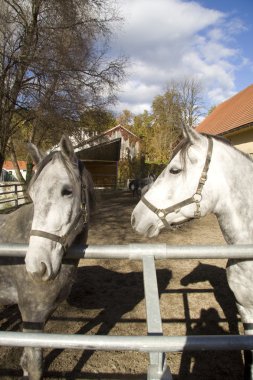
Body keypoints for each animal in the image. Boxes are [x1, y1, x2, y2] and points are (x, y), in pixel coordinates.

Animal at [0, 135, 94, 378]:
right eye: (33, 195)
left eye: (67, 191)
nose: (37, 266)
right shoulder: (31, 313)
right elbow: (35, 366)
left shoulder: (44, 314)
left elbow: (28, 360)